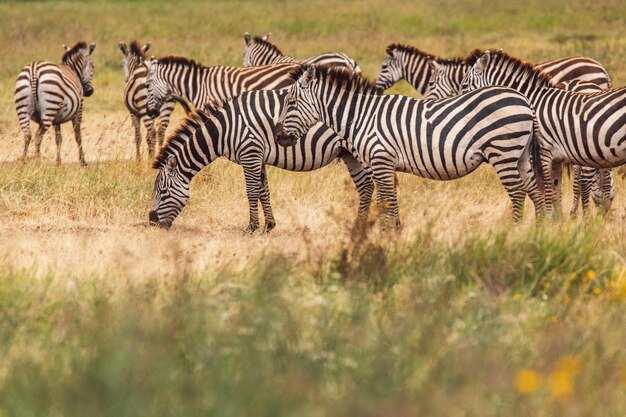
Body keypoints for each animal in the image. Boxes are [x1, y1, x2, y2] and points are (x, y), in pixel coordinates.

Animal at [147, 90, 372, 231]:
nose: (151, 222)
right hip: (350, 155)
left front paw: (252, 227)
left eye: (163, 192)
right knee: (365, 188)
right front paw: (269, 226)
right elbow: (264, 190)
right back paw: (361, 225)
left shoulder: (250, 154)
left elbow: (251, 191)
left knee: (370, 186)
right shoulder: (258, 157)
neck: (224, 130)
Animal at [272, 65, 540, 228]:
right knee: (534, 190)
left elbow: (388, 199)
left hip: (503, 152)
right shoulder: (378, 164)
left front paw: (390, 235)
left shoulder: (381, 160)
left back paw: (512, 231)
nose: (278, 136)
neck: (362, 116)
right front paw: (388, 232)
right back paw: (541, 229)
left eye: (290, 101)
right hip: (520, 155)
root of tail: (524, 100)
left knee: (517, 193)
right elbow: (384, 199)